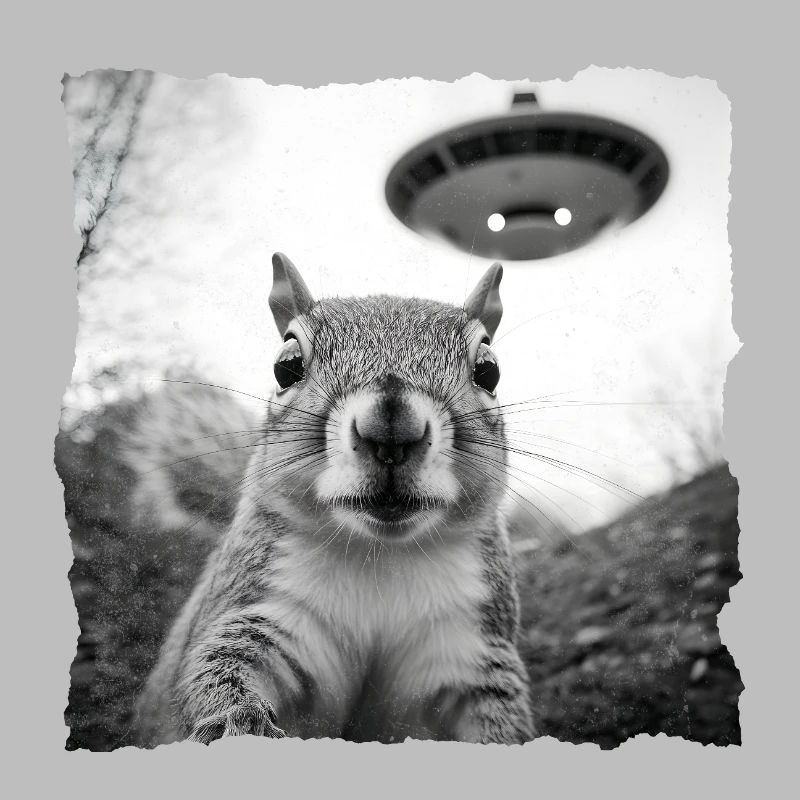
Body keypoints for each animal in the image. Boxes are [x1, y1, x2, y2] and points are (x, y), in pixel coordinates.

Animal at [134, 252, 535, 746]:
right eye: (286, 366)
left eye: (489, 370)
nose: (392, 428)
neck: (382, 555)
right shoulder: (265, 608)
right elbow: (219, 665)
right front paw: (238, 722)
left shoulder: (469, 648)